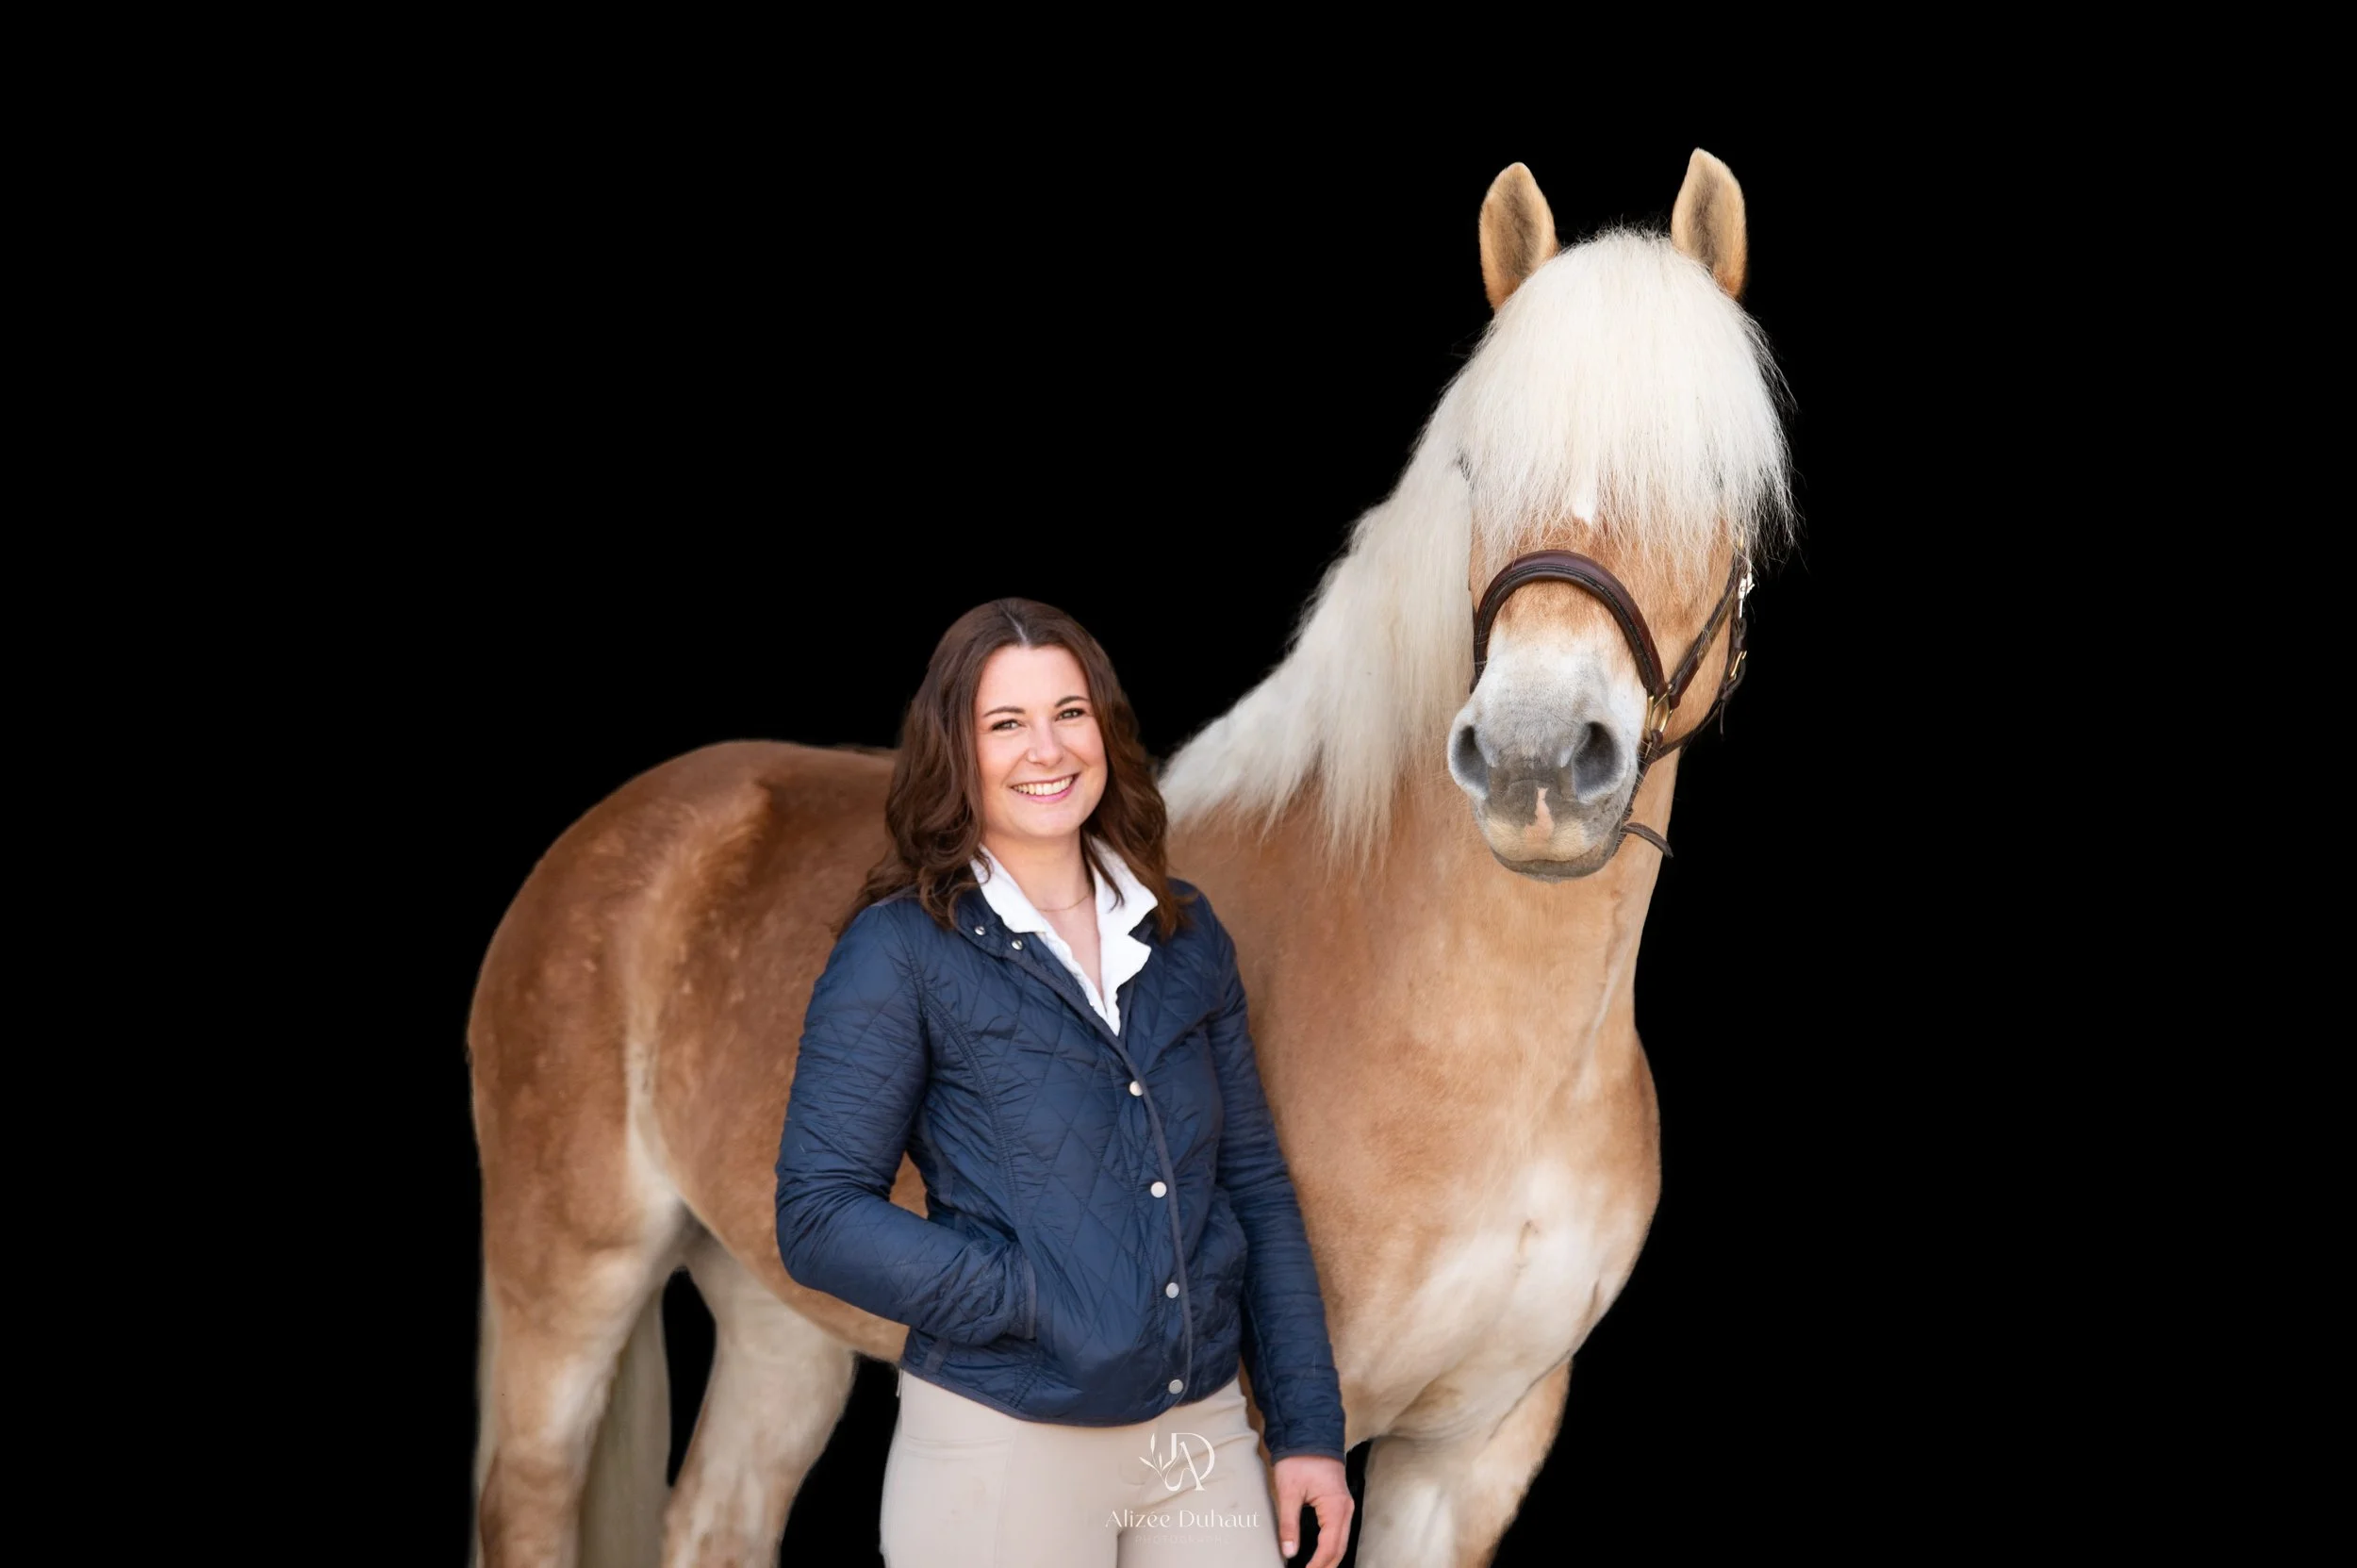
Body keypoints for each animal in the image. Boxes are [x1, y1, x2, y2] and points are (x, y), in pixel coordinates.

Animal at [467, 149, 1792, 1568]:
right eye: (1475, 470)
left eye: (1720, 485)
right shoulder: (1260, 1436)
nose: (1537, 761)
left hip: (778, 1309)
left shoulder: (1472, 1453)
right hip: (571, 1281)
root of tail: (622, 828)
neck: (1475, 1042)